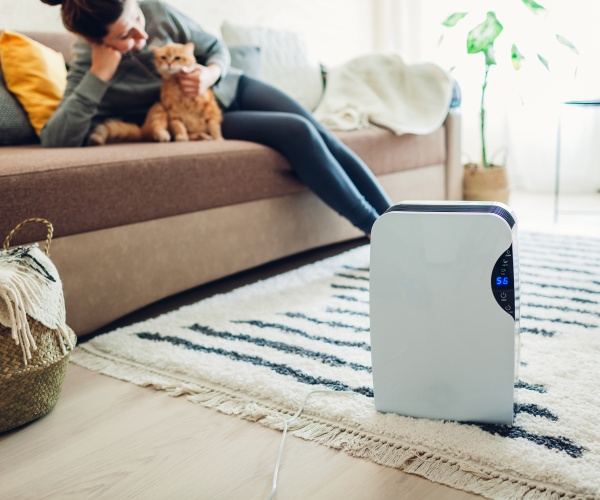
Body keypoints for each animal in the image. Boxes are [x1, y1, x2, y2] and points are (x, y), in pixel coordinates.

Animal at [88, 42, 221, 146]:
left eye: (177, 58)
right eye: (163, 57)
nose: (169, 63)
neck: (176, 84)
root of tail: (142, 128)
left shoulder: (210, 109)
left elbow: (214, 126)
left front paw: (218, 139)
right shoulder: (172, 110)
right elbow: (178, 125)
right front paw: (181, 137)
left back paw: (202, 136)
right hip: (159, 108)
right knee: (155, 130)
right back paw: (165, 135)